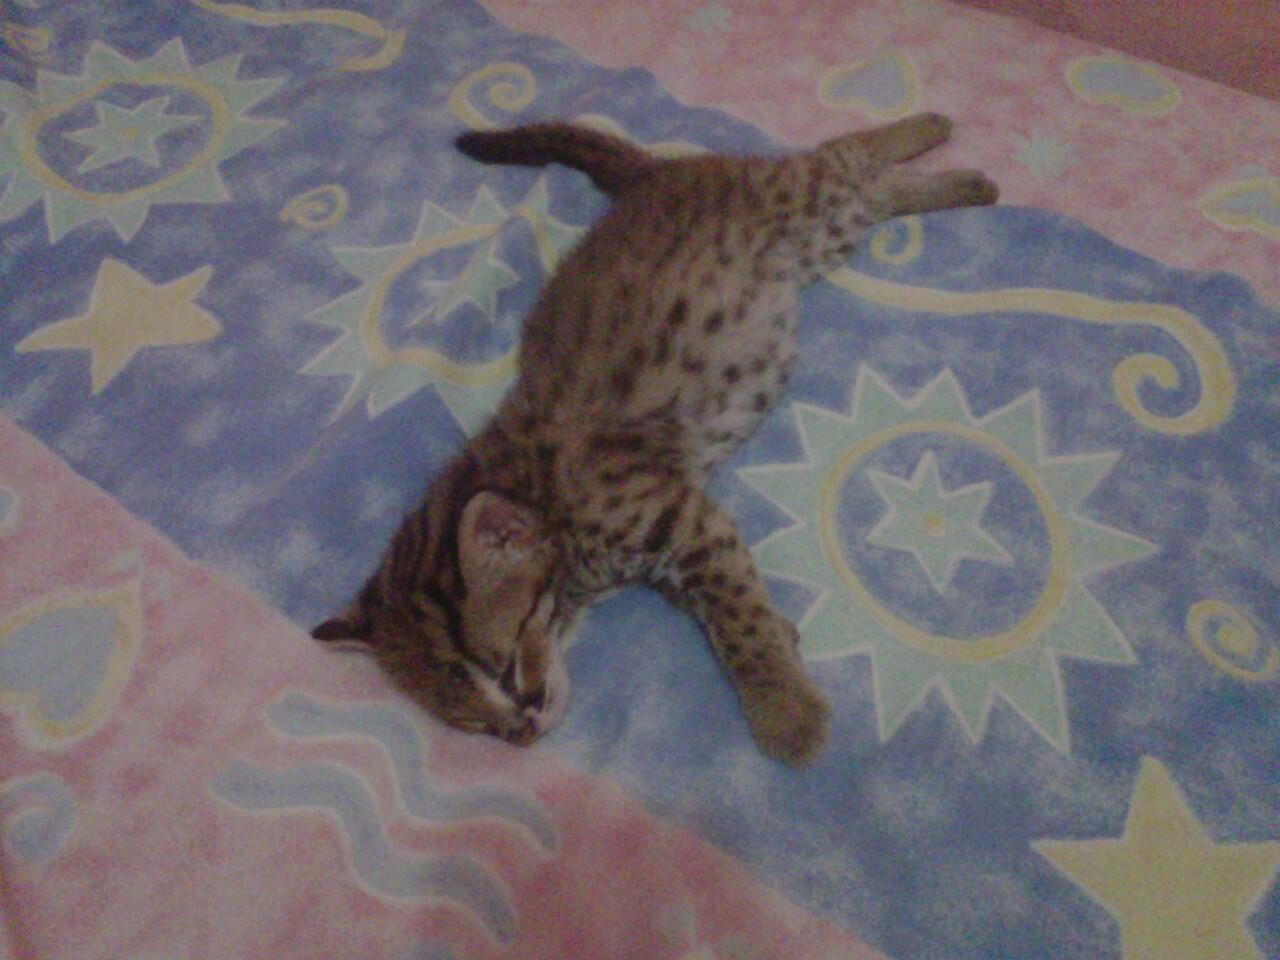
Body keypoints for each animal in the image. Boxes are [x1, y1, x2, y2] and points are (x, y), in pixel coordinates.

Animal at [312, 113, 998, 765]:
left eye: (503, 667)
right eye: (472, 725)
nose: (521, 734)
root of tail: (652, 175)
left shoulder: (685, 520)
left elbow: (736, 621)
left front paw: (785, 713)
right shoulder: (678, 542)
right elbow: (729, 602)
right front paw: (784, 641)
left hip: (801, 204)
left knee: (842, 153)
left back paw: (942, 143)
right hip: (818, 237)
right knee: (870, 189)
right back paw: (959, 179)